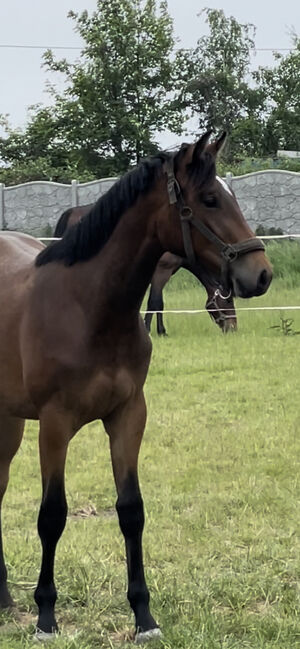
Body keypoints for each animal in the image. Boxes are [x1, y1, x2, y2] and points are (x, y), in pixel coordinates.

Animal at [54, 202, 237, 334]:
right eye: (228, 300)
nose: (233, 327)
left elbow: (158, 303)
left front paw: (159, 330)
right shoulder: (161, 272)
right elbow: (155, 302)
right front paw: (152, 330)